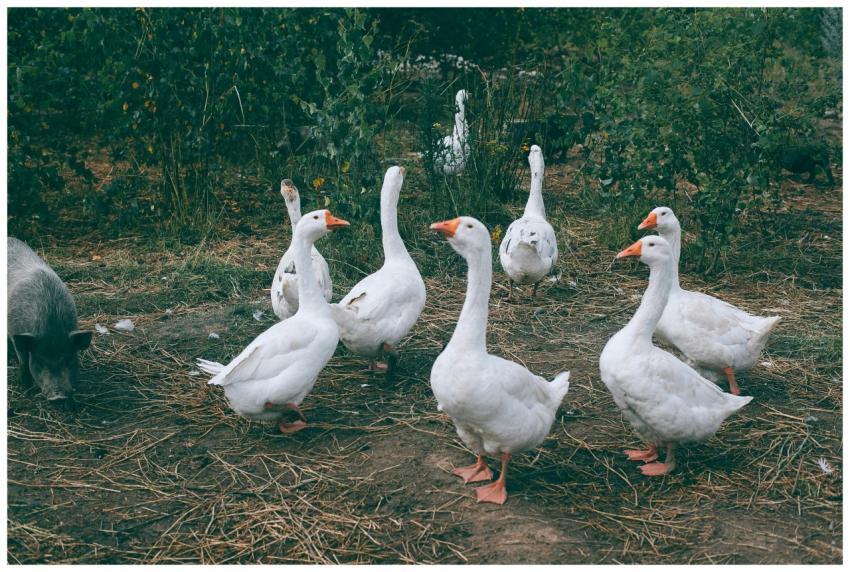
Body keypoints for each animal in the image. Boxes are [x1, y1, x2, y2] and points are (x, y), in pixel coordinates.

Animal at [7, 237, 92, 402]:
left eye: (68, 360)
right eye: (39, 362)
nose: (57, 396)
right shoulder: (16, 333)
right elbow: (23, 364)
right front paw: (27, 392)